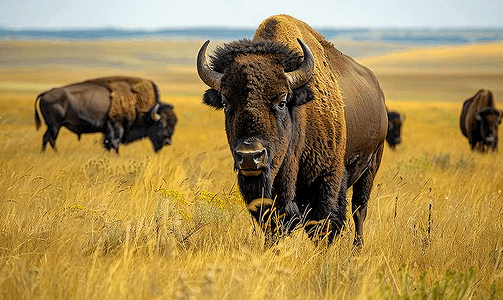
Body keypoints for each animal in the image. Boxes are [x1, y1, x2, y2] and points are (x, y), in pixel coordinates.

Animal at [34, 76, 176, 154]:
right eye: (161, 123)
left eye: (173, 123)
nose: (168, 141)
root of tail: (46, 93)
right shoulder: (116, 126)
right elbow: (114, 143)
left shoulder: (107, 130)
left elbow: (108, 144)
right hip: (55, 125)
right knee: (49, 138)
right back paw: (55, 154)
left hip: (53, 126)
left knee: (47, 138)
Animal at [197, 14, 386, 246]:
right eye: (225, 103)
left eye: (281, 102)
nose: (250, 156)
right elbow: (273, 227)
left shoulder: (327, 180)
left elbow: (323, 226)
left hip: (371, 165)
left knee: (359, 210)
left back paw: (357, 248)